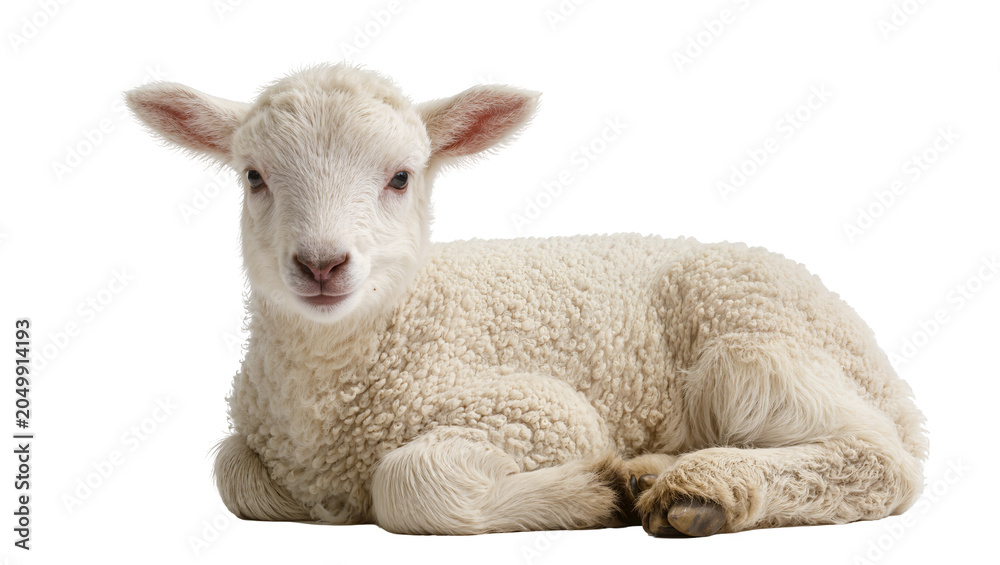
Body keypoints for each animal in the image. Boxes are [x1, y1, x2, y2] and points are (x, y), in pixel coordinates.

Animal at [125, 64, 927, 537]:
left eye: (400, 177)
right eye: (253, 176)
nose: (322, 263)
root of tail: (892, 378)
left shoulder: (538, 411)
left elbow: (405, 481)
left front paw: (595, 492)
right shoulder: (263, 439)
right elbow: (233, 473)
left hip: (755, 336)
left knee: (878, 462)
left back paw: (701, 487)